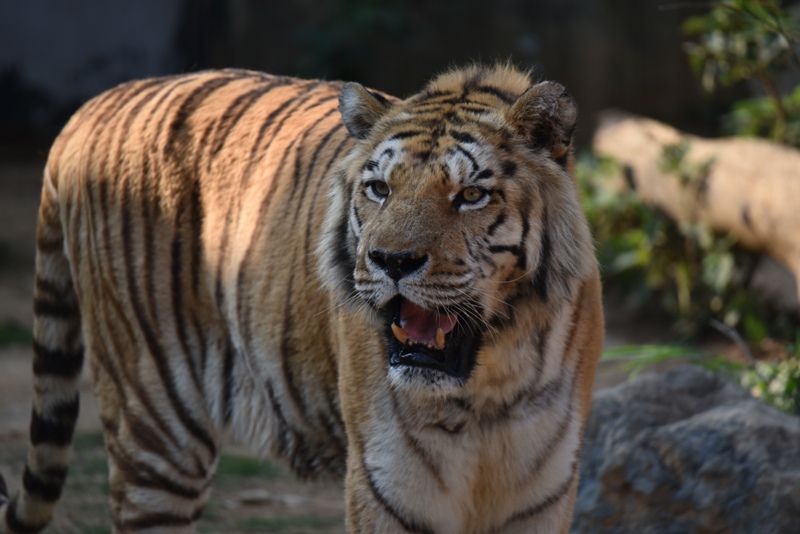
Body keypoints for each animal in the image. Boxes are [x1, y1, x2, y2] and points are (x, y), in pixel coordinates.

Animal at [0, 63, 603, 533]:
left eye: (471, 195)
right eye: (379, 188)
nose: (392, 261)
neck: (485, 389)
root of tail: (90, 109)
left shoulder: (543, 498)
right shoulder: (387, 489)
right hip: (153, 426)